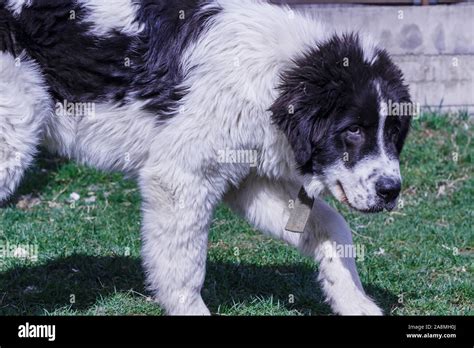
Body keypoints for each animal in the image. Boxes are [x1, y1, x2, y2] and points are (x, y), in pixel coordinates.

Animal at [0, 0, 412, 316]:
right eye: (353, 130)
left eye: (393, 133)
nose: (391, 191)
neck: (273, 79)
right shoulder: (181, 175)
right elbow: (184, 265)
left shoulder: (252, 180)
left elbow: (332, 228)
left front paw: (355, 303)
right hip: (12, 136)